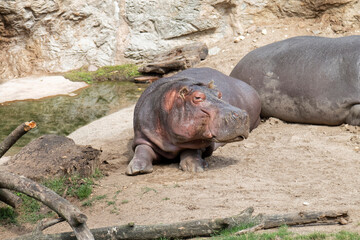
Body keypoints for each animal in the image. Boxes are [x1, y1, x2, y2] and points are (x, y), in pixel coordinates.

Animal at [125, 66, 260, 175]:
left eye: (219, 94)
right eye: (197, 97)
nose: (241, 114)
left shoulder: (198, 140)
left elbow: (192, 150)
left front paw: (195, 167)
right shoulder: (143, 134)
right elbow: (142, 149)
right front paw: (137, 169)